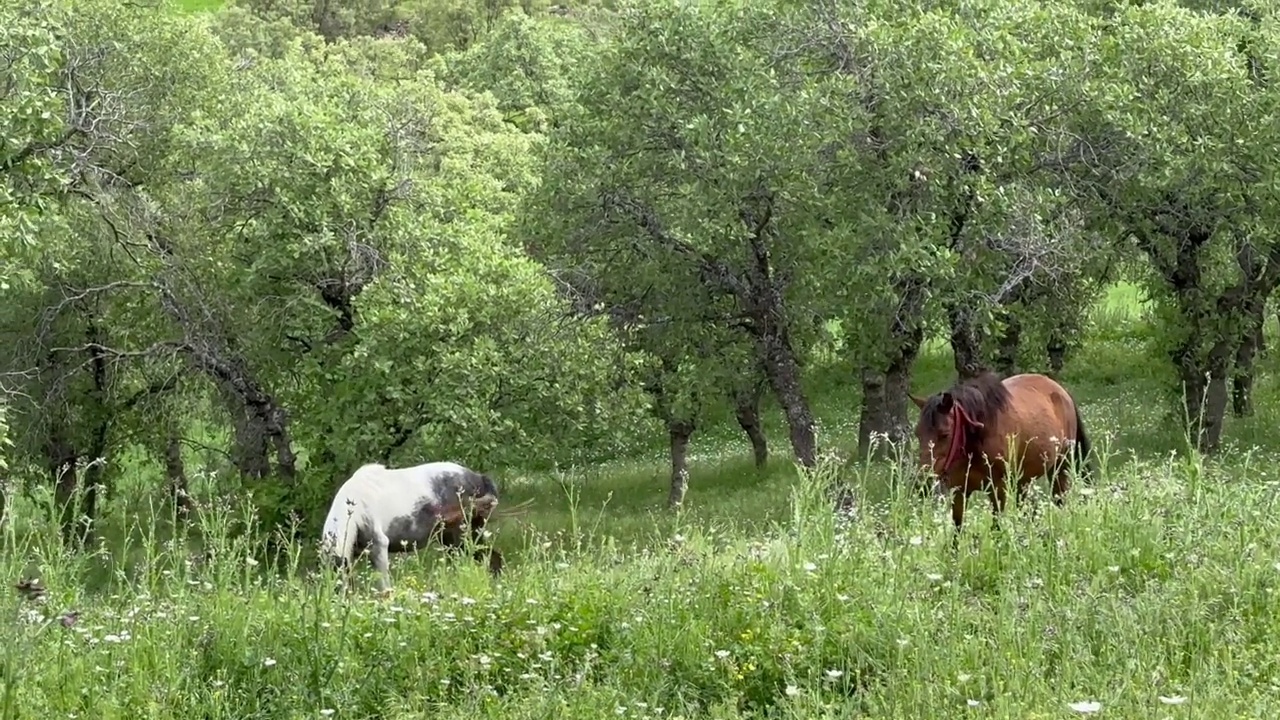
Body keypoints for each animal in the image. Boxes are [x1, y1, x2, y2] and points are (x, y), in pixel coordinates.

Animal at [911, 371, 1090, 530]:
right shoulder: (959, 491)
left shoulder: (997, 489)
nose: (923, 481)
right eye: (917, 433)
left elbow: (996, 526)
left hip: (1059, 467)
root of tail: (1062, 392)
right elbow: (957, 529)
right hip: (1023, 479)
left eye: (945, 434)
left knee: (1059, 500)